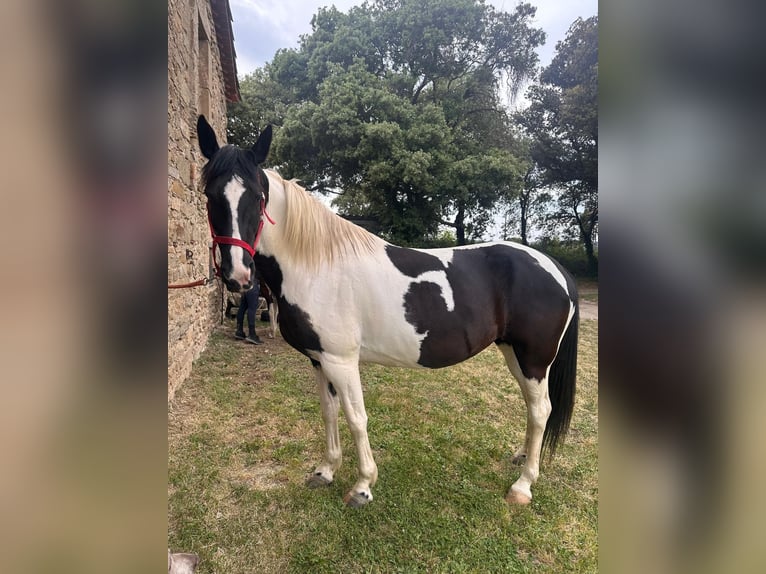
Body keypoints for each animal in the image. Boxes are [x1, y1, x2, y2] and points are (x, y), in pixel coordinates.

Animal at [196, 115, 579, 507]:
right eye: (210, 196)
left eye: (258, 198)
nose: (238, 276)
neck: (317, 266)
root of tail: (555, 268)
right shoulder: (319, 359)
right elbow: (329, 412)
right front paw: (325, 471)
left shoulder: (341, 361)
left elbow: (356, 417)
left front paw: (362, 486)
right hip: (515, 354)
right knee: (534, 409)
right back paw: (521, 456)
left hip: (534, 359)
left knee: (541, 410)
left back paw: (523, 485)